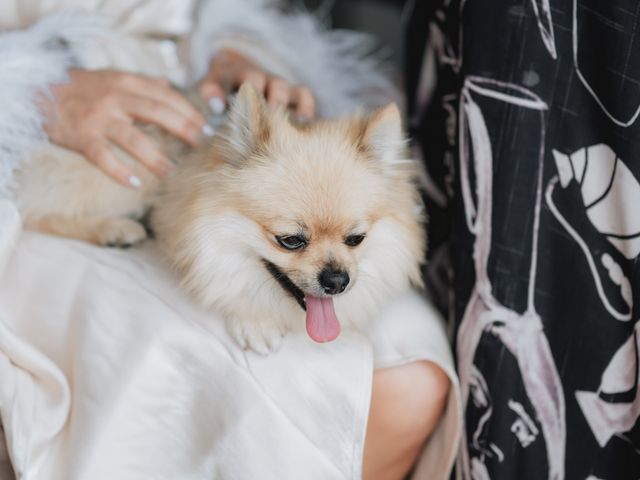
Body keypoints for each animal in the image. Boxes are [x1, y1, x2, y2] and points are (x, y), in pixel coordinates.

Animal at [15, 83, 424, 352]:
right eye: (290, 241)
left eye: (356, 239)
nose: (338, 280)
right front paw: (254, 320)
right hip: (128, 171)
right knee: (35, 209)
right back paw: (112, 228)